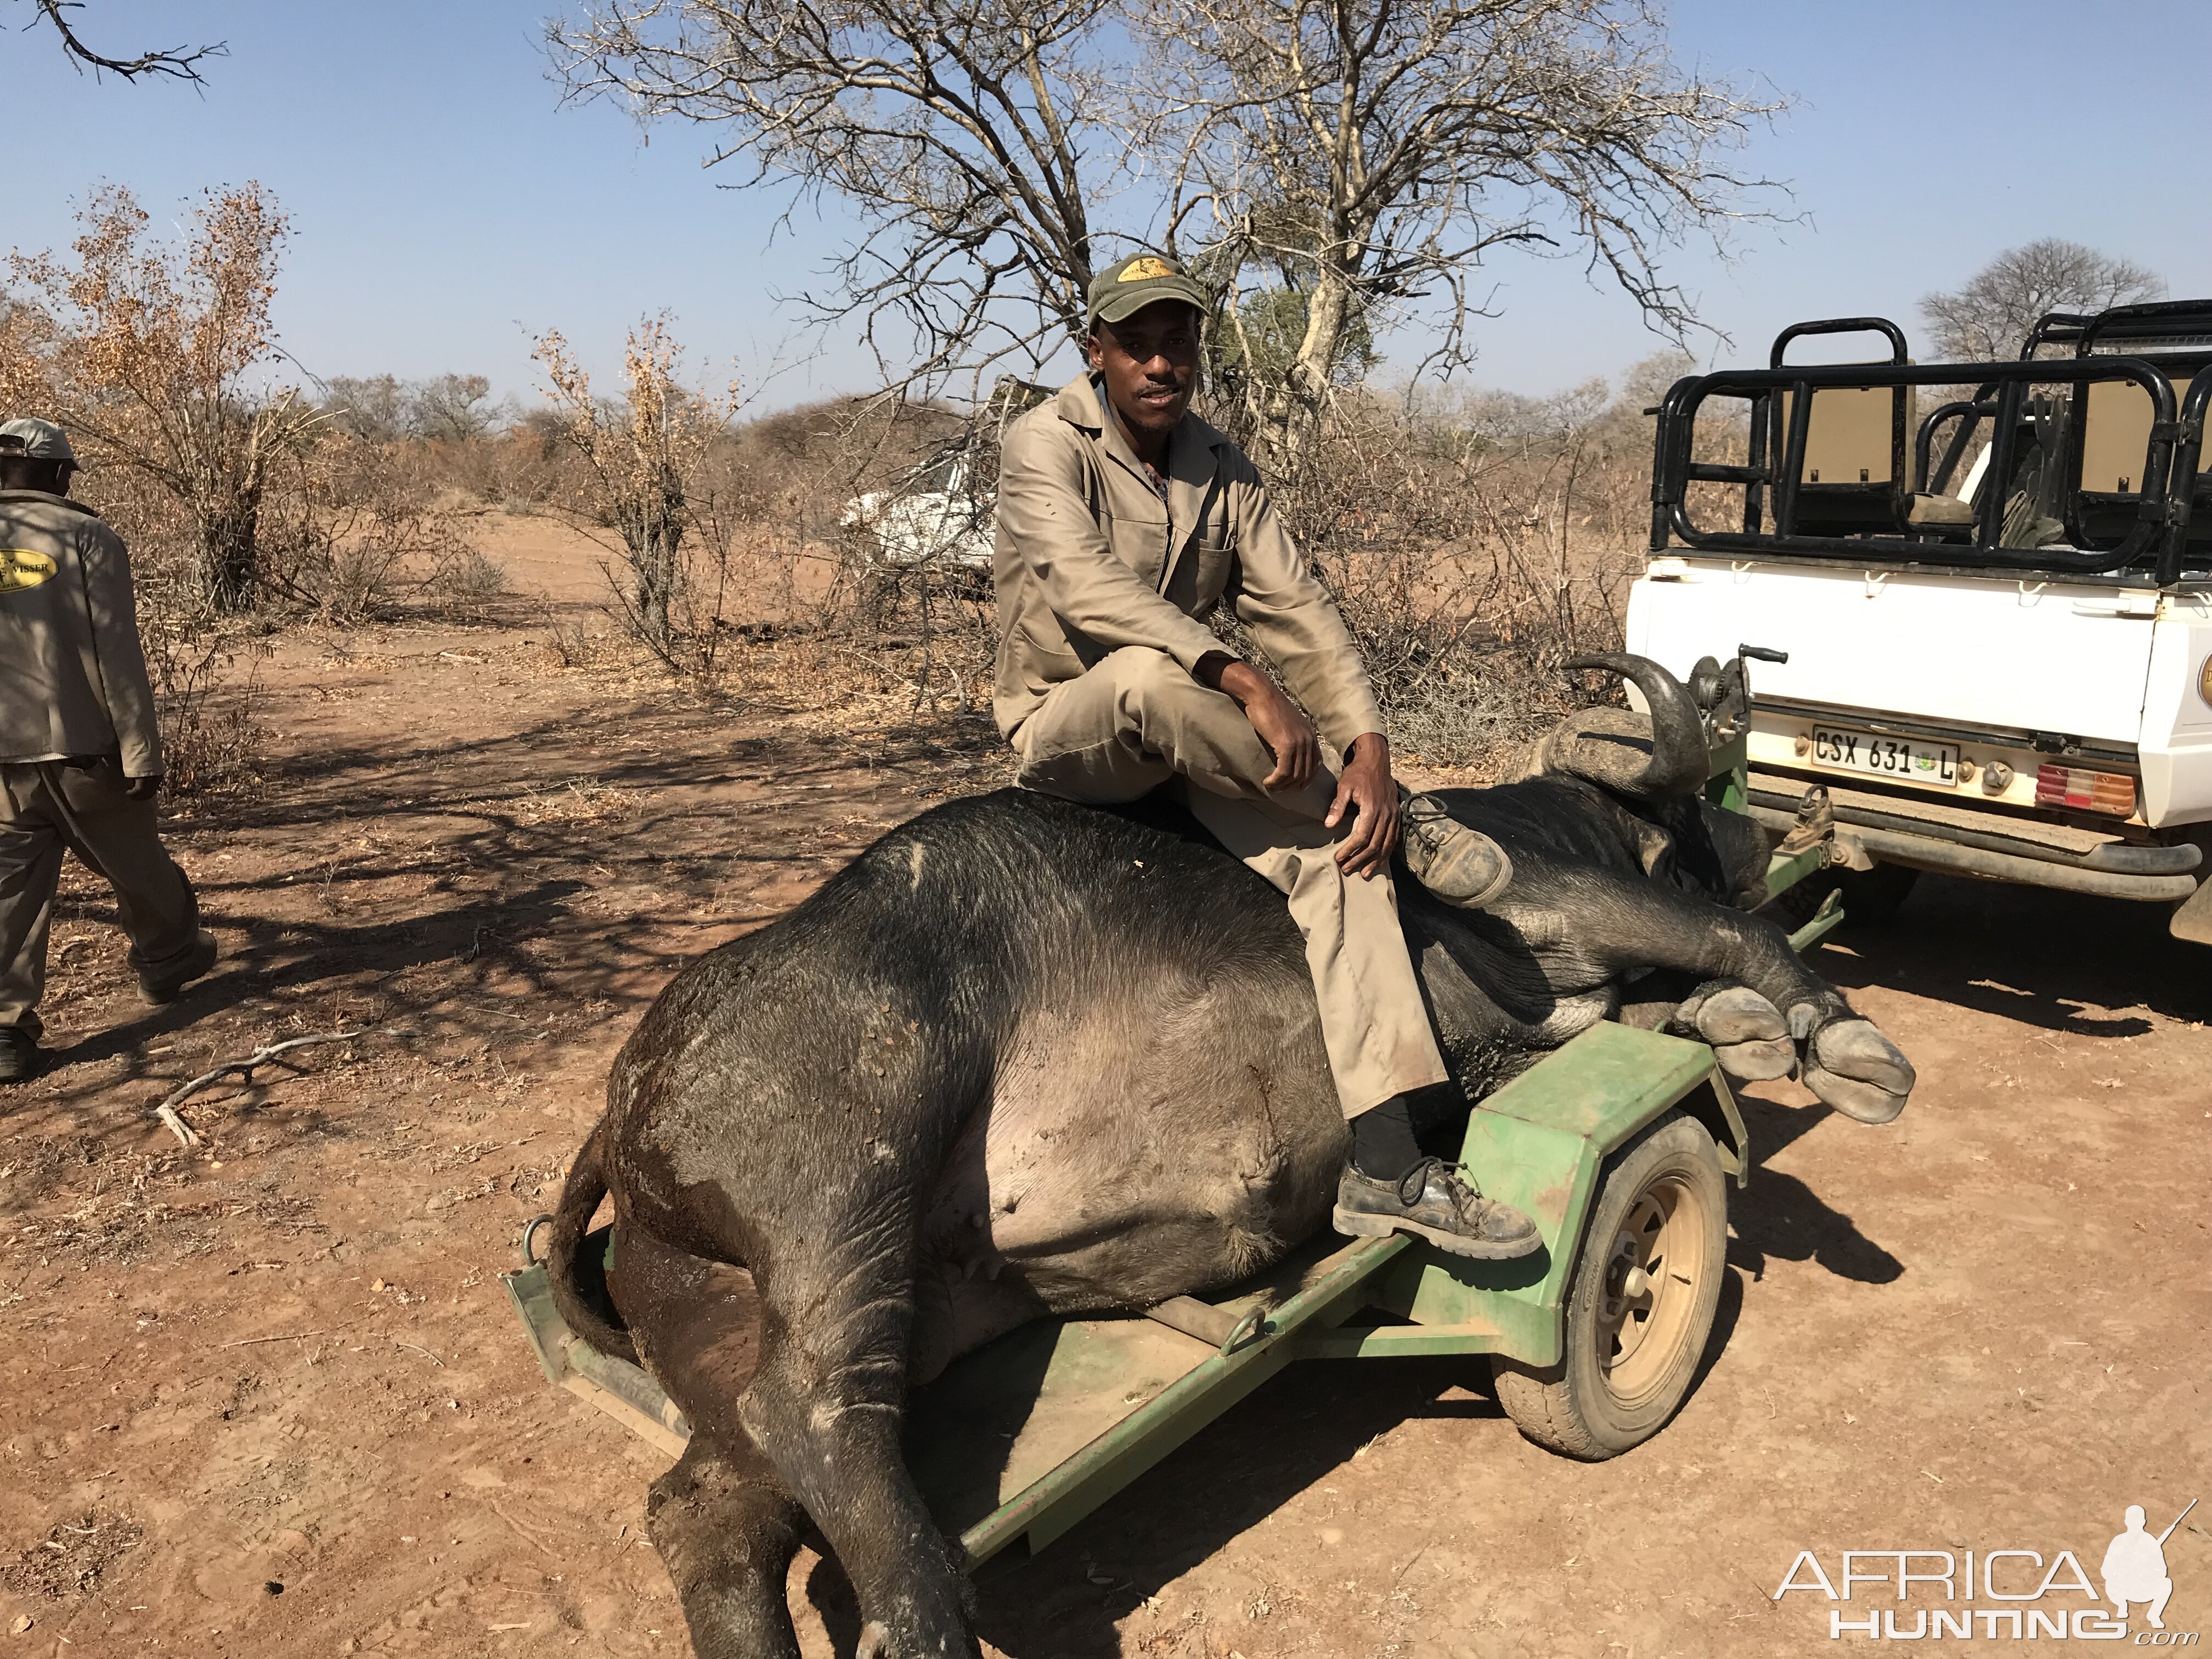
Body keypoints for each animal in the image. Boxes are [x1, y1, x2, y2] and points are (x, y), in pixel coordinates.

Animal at [544, 659, 1911, 1659]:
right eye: (1700, 808)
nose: (1776, 833)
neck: (1561, 818)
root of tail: (623, 1106)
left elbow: (1670, 1001)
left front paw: (1740, 1024)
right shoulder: (1568, 905)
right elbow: (1721, 933)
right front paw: (1841, 1042)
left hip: (769, 1322)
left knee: (711, 1511)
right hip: (851, 1160)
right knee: (815, 1409)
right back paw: (927, 1620)